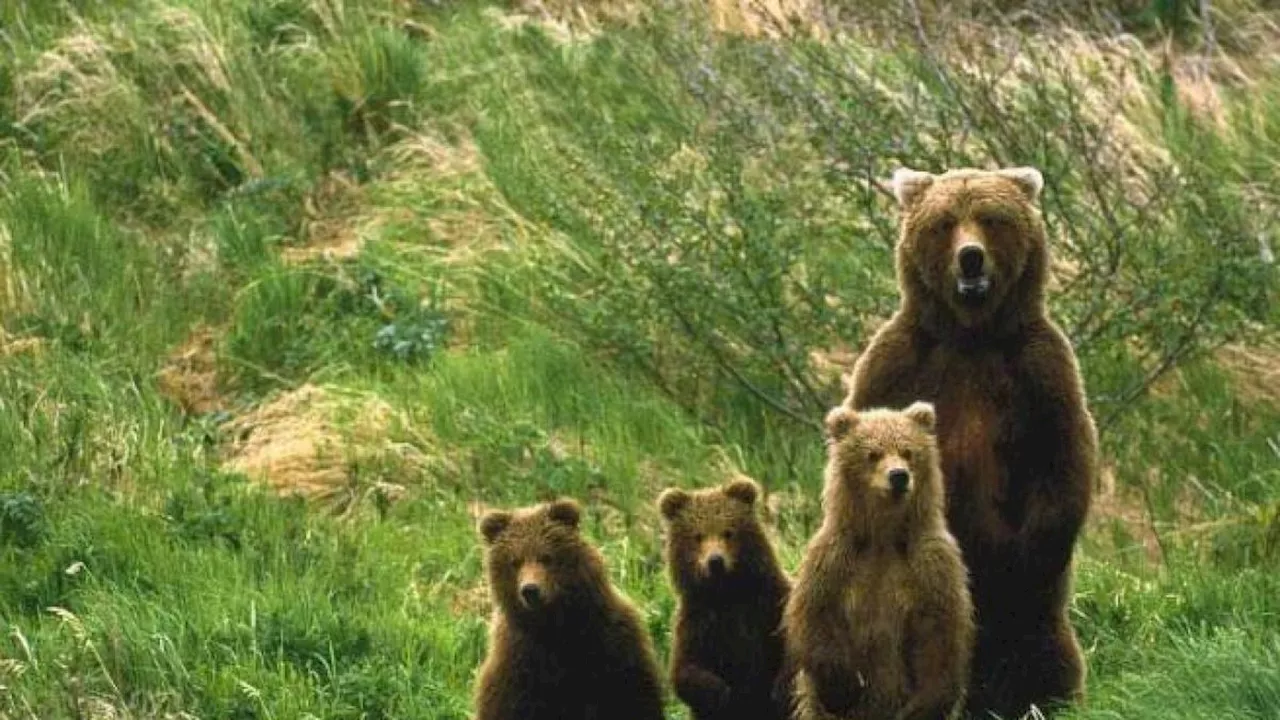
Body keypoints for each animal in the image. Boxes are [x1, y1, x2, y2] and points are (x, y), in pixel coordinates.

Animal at [473, 497, 670, 717]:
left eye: (546, 557)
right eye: (515, 561)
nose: (530, 590)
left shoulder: (612, 642)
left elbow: (633, 695)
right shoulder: (518, 662)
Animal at [660, 476, 788, 717]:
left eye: (728, 532)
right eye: (698, 536)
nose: (715, 561)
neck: (726, 592)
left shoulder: (768, 605)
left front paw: (780, 687)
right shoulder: (699, 621)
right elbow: (684, 670)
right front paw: (718, 691)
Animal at [778, 399, 967, 717]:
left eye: (908, 451)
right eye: (873, 453)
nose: (899, 476)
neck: (883, 536)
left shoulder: (931, 564)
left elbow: (940, 636)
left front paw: (924, 705)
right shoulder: (835, 559)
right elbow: (815, 618)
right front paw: (844, 686)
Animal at [849, 165, 1100, 712]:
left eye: (990, 217)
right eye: (945, 222)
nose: (971, 257)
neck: (971, 335)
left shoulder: (1038, 370)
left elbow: (1062, 458)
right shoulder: (899, 364)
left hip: (1035, 624)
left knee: (1041, 648)